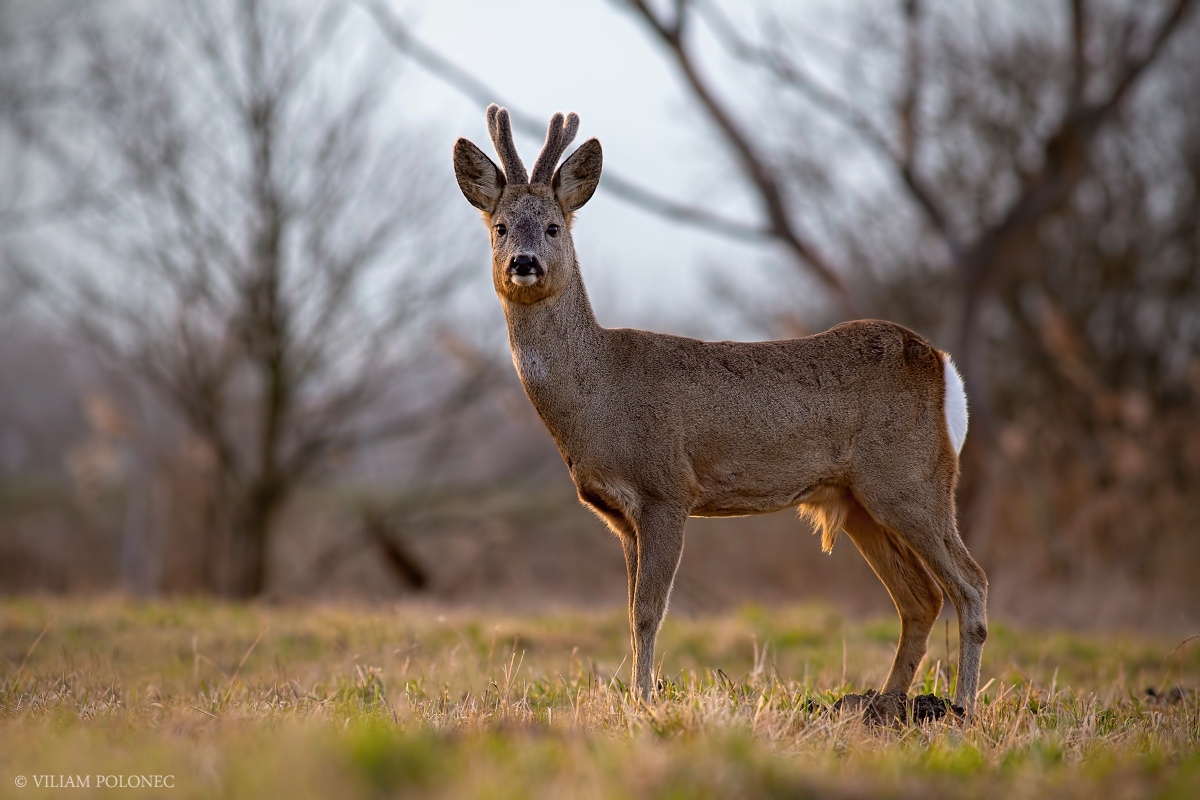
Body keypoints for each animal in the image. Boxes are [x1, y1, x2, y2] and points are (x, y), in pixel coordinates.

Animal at [453, 104, 988, 714]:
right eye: (499, 227)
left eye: (553, 227)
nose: (524, 262)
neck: (600, 395)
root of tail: (940, 365)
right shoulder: (620, 517)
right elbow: (630, 611)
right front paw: (638, 692)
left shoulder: (666, 489)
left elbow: (648, 611)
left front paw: (644, 699)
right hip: (859, 500)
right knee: (920, 598)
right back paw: (884, 706)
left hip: (911, 479)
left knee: (970, 584)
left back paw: (961, 710)